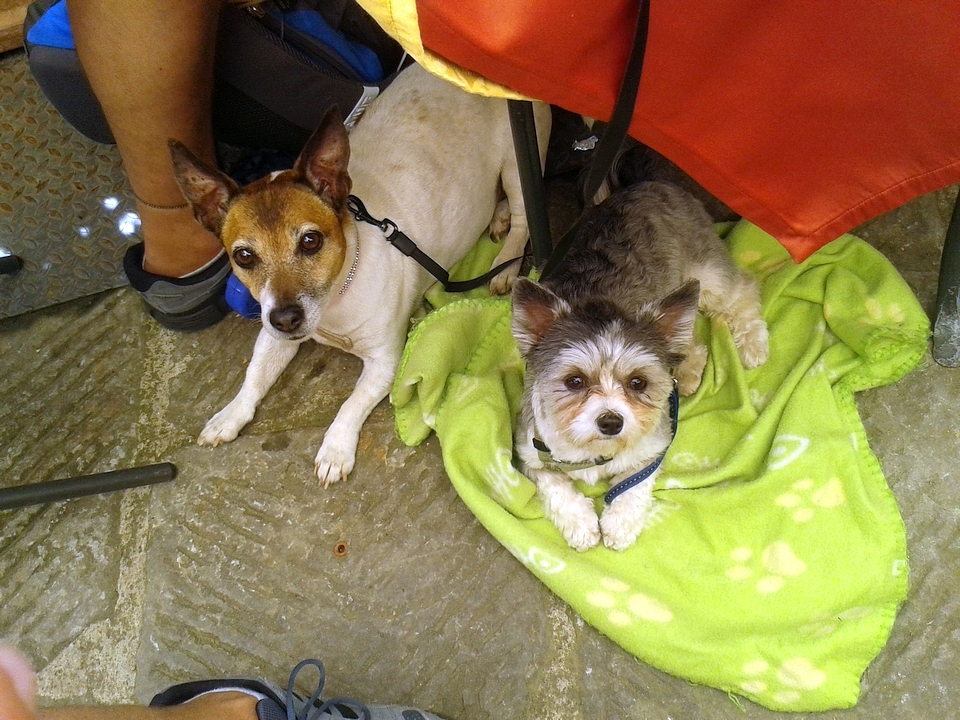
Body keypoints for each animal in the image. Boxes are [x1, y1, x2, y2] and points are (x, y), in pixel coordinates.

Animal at [169, 63, 551, 486]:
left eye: (310, 241)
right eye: (244, 256)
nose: (286, 318)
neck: (335, 301)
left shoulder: (386, 361)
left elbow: (351, 403)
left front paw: (335, 449)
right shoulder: (273, 337)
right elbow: (255, 376)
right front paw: (230, 416)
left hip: (517, 164)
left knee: (523, 219)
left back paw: (508, 260)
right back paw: (496, 219)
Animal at [512, 181, 768, 551]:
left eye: (638, 383)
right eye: (574, 381)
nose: (611, 422)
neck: (595, 451)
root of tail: (649, 183)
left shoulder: (652, 448)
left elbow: (632, 485)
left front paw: (619, 524)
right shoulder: (531, 452)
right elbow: (556, 486)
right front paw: (580, 523)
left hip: (706, 276)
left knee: (743, 291)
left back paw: (752, 343)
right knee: (692, 342)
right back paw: (687, 372)